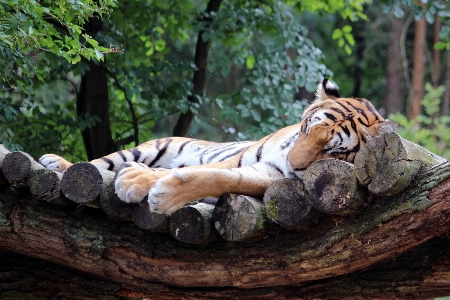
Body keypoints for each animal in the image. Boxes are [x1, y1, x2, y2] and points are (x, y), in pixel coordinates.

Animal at [39, 78, 398, 214]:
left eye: (332, 151)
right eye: (307, 128)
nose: (294, 164)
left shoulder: (268, 176)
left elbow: (219, 177)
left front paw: (161, 192)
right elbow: (209, 168)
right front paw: (138, 179)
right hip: (146, 148)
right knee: (99, 163)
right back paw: (56, 162)